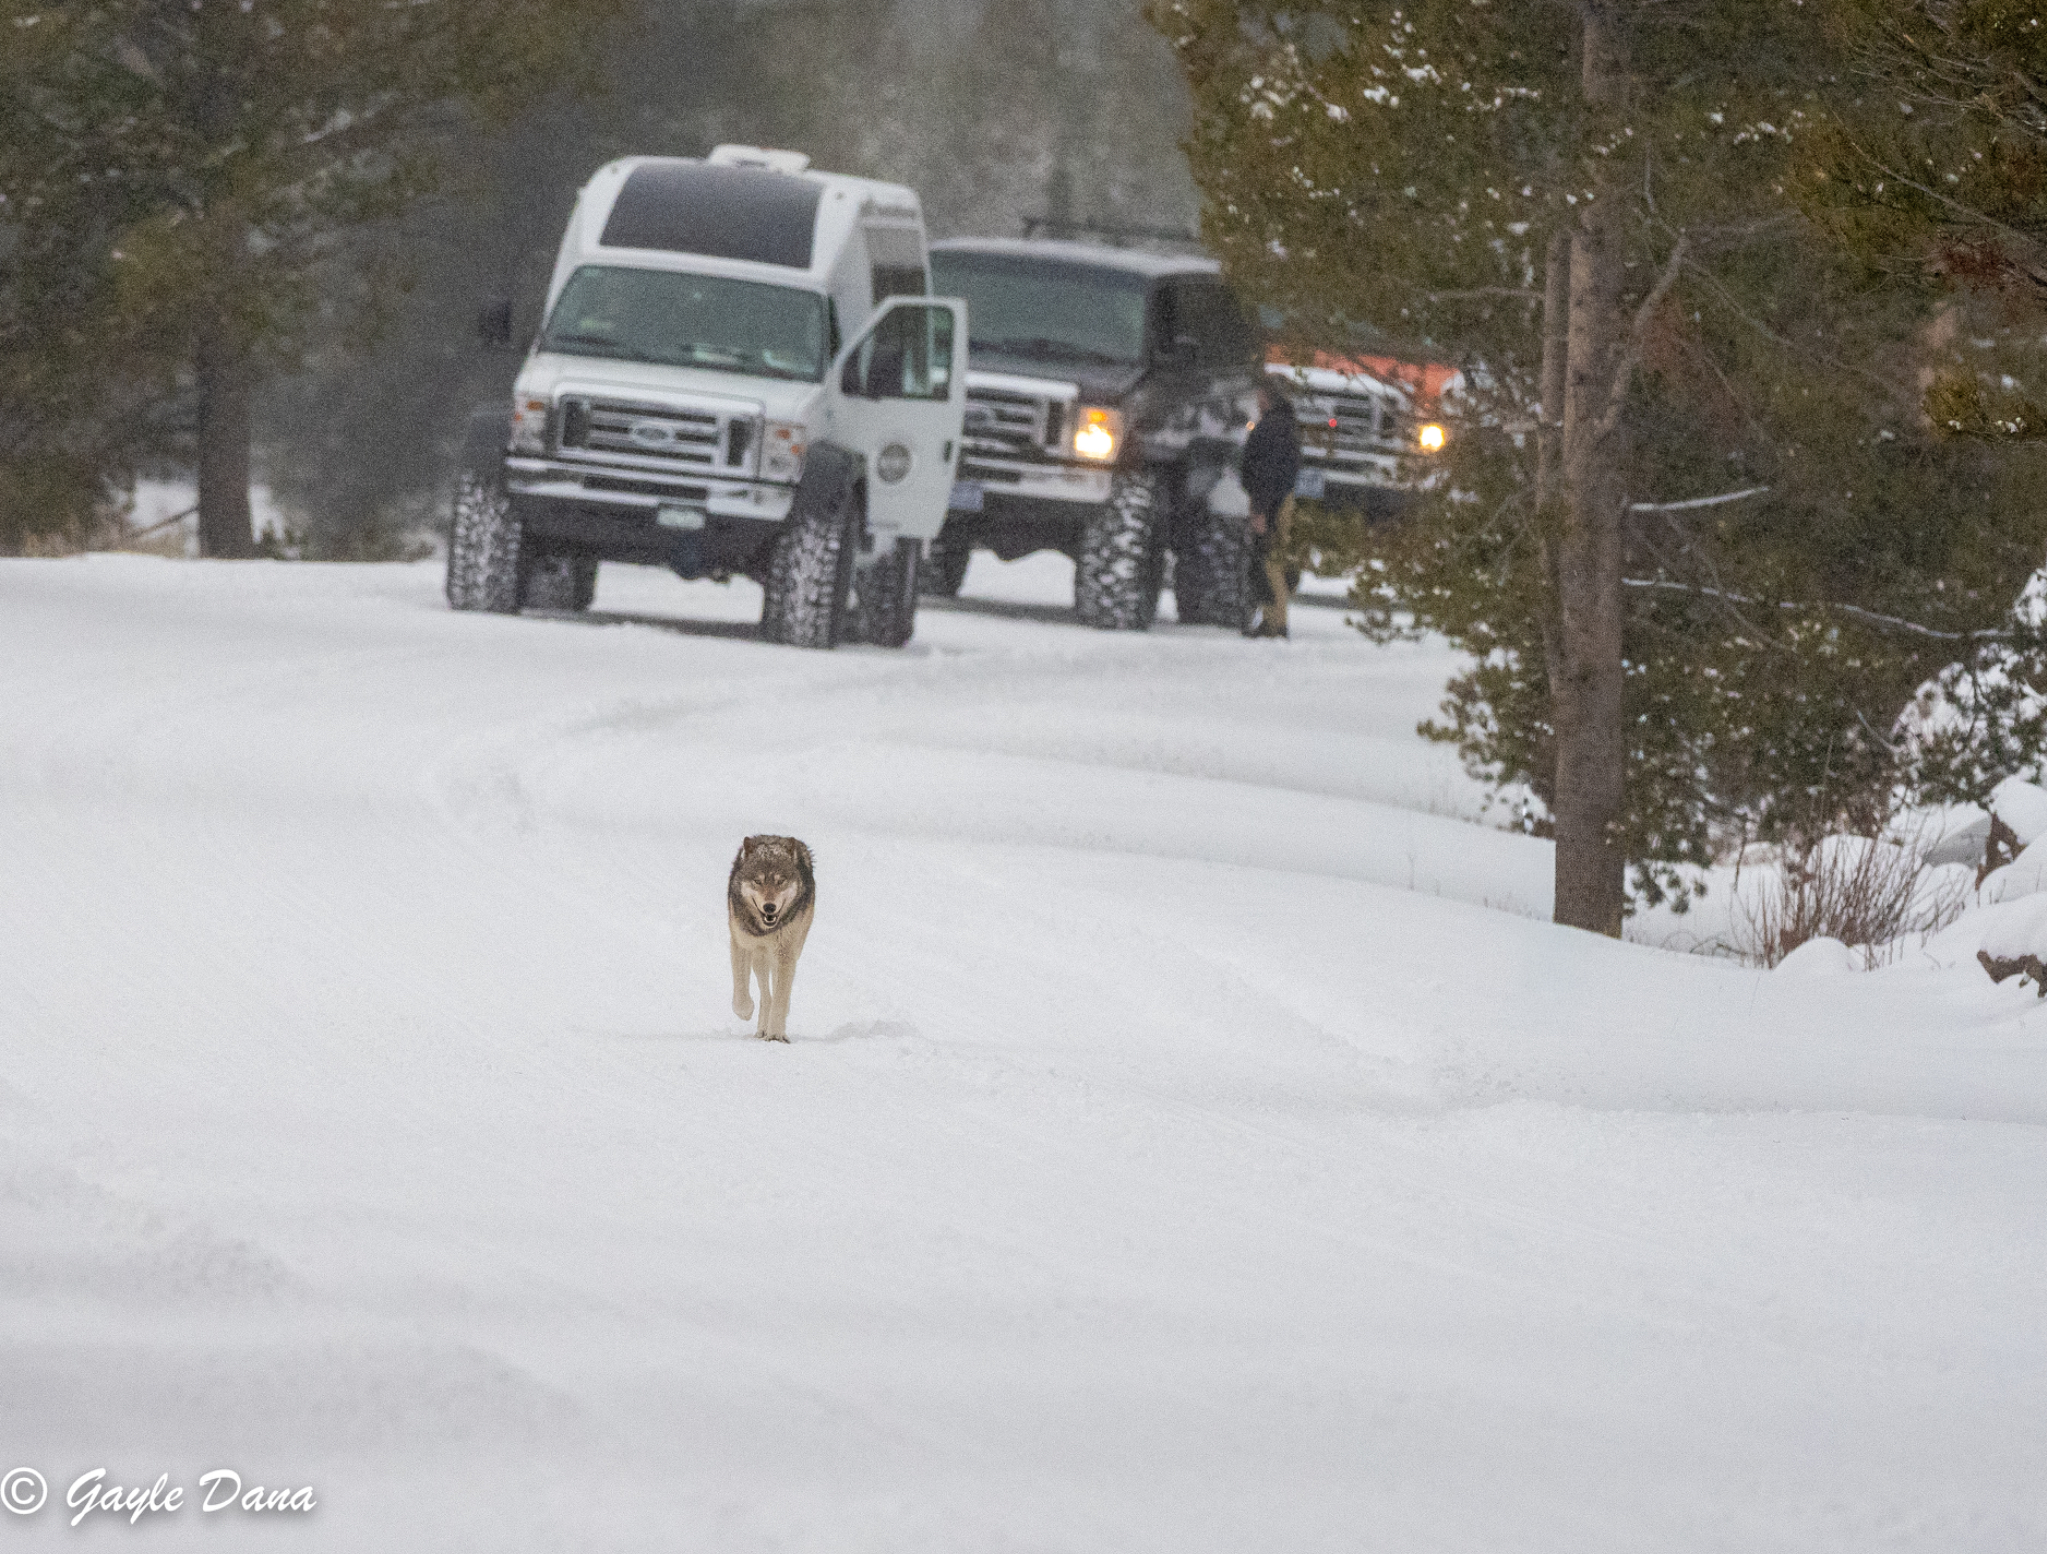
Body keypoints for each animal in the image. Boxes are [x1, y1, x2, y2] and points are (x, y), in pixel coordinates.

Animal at [728, 835, 816, 1042]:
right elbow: (740, 989)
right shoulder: (741, 943)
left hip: (787, 951)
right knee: (765, 994)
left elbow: (781, 997)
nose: (769, 907)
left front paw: (776, 1034)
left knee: (776, 991)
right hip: (759, 958)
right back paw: (761, 1029)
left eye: (780, 881)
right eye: (758, 881)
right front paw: (745, 1012)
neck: (764, 929)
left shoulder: (785, 953)